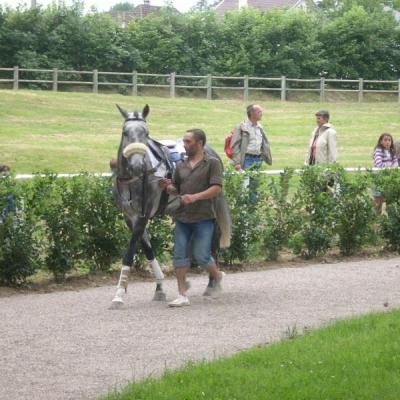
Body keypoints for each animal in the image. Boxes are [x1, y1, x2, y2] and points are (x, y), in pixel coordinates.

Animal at [111, 104, 231, 308]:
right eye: (125, 132)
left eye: (146, 133)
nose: (137, 165)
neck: (133, 181)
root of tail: (211, 151)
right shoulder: (129, 217)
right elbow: (148, 249)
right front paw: (159, 288)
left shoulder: (142, 215)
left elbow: (130, 252)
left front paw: (118, 294)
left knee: (212, 242)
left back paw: (212, 284)